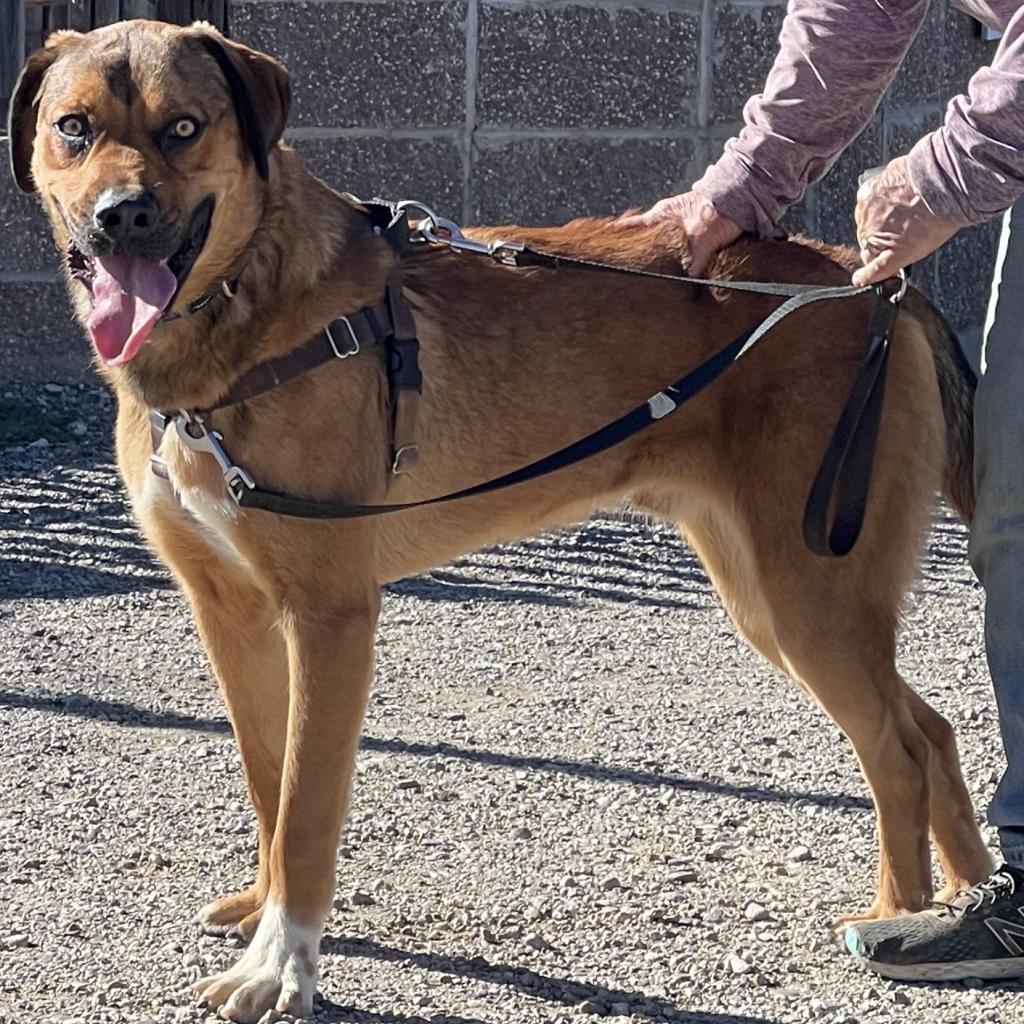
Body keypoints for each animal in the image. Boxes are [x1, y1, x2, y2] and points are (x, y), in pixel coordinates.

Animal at [14, 18, 991, 1024]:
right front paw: (261, 906)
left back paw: (897, 910)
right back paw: (964, 899)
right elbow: (266, 780)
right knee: (931, 731)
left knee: (899, 748)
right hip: (771, 598)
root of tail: (872, 284)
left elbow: (307, 805)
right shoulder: (229, 612)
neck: (245, 311)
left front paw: (282, 962)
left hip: (809, 596)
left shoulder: (331, 617)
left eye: (183, 127)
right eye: (75, 128)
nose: (121, 216)